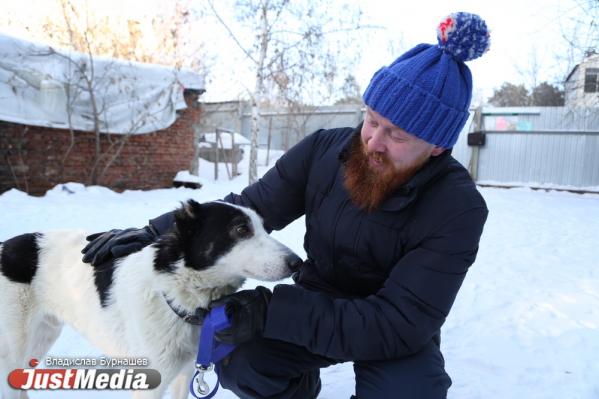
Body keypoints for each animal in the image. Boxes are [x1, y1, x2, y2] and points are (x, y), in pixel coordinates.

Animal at [0, 202, 300, 398]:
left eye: (265, 228)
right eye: (240, 229)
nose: (297, 263)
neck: (174, 296)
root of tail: (5, 246)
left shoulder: (185, 374)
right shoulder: (150, 383)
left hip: (40, 338)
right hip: (15, 349)